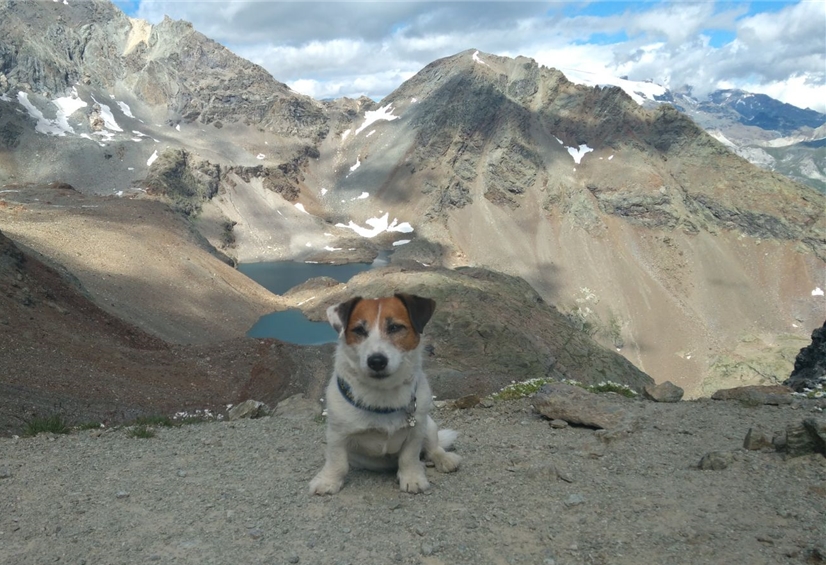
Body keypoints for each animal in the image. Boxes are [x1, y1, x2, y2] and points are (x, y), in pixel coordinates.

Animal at [308, 294, 460, 492]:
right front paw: (328, 481)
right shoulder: (337, 434)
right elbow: (337, 461)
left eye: (395, 327)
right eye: (359, 330)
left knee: (433, 447)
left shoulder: (416, 431)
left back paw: (444, 459)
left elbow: (409, 457)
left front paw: (412, 478)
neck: (382, 393)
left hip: (429, 425)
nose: (376, 361)